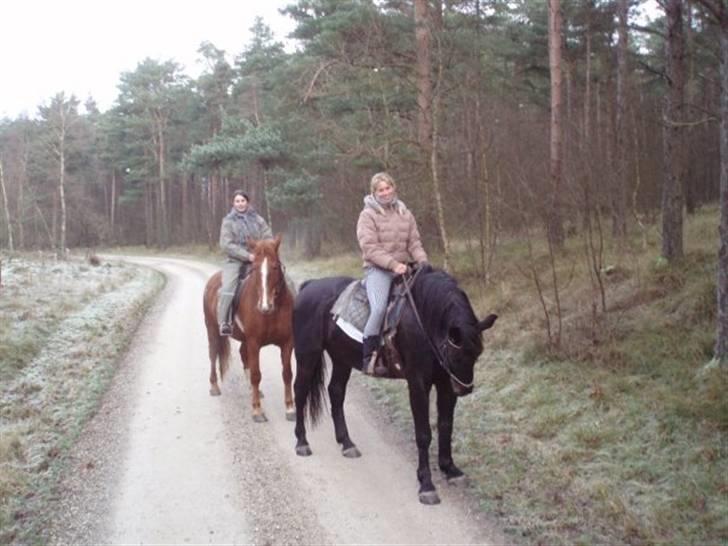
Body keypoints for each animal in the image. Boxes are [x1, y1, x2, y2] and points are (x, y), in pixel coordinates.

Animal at [202, 235, 292, 420]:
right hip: (212, 330)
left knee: (243, 354)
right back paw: (214, 387)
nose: (265, 306)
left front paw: (290, 409)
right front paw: (257, 410)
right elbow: (256, 374)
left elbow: (287, 374)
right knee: (213, 354)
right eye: (255, 268)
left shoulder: (287, 342)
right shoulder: (254, 342)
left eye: (274, 266)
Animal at [292, 264, 498, 502]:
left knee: (335, 392)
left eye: (477, 355)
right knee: (299, 392)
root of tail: (309, 286)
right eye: (455, 356)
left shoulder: (446, 384)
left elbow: (446, 426)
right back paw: (302, 442)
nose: (464, 389)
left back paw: (347, 443)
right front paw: (426, 484)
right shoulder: (418, 384)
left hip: (342, 359)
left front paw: (450, 469)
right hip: (308, 355)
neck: (424, 320)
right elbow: (423, 433)